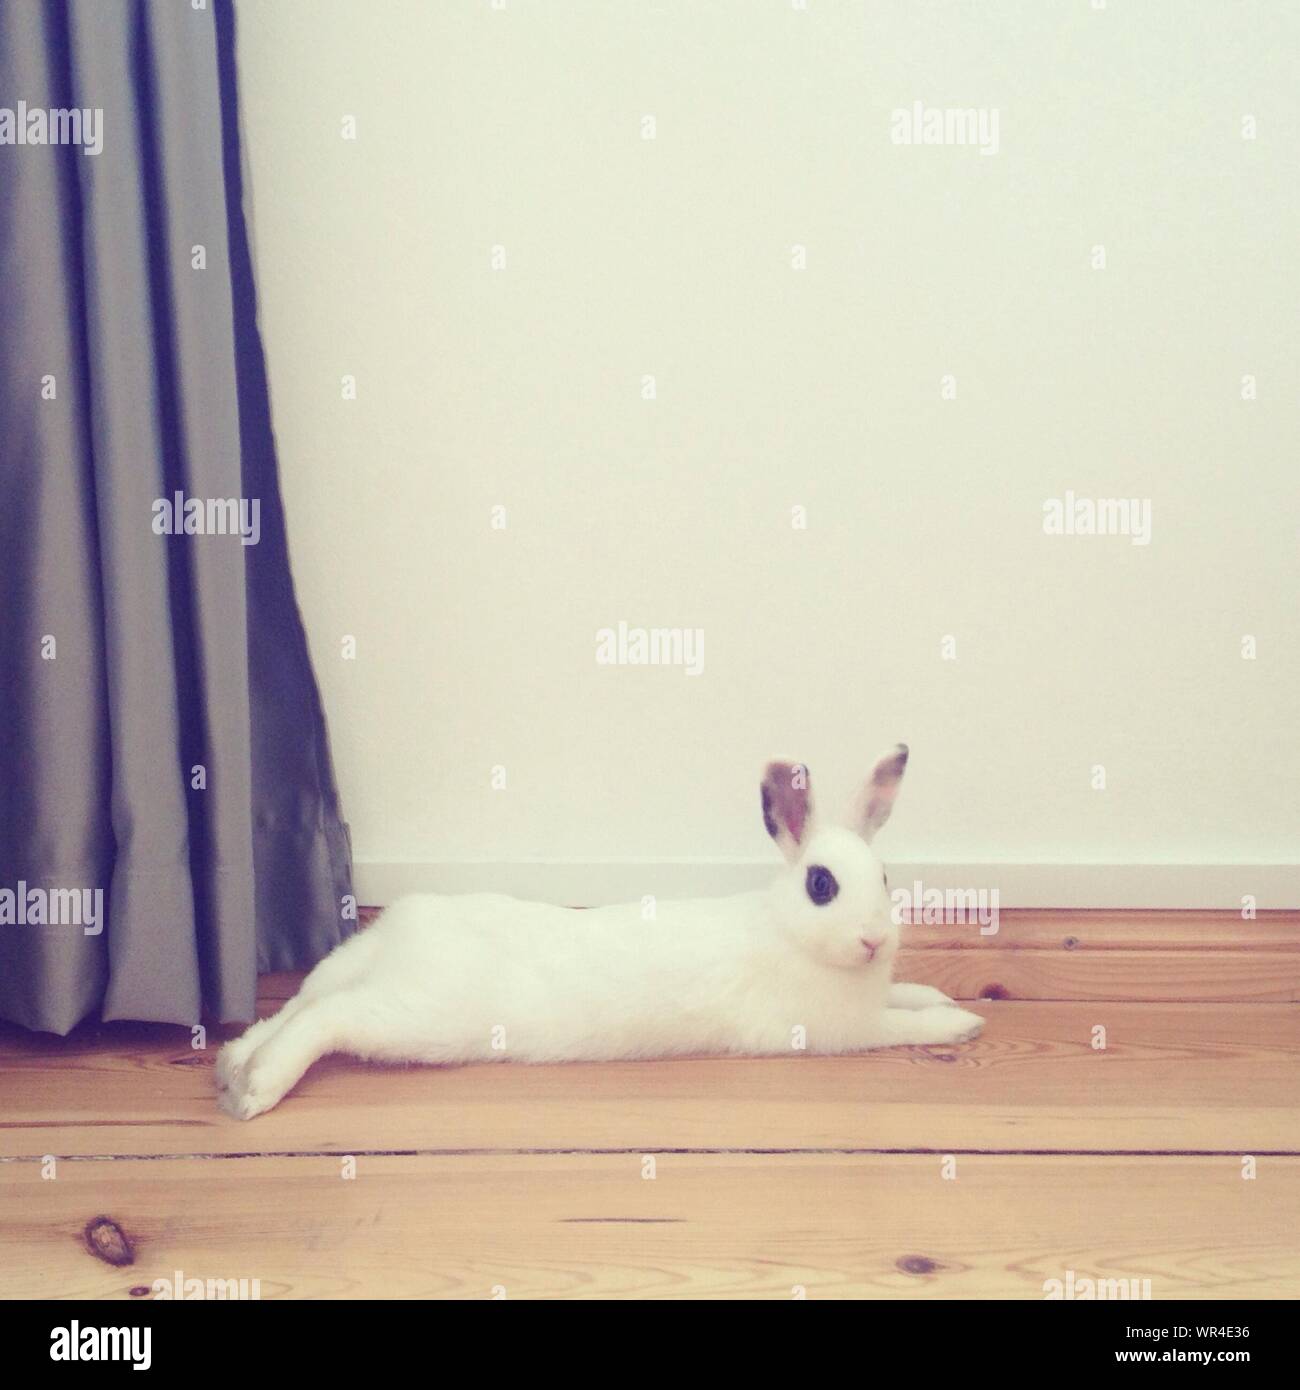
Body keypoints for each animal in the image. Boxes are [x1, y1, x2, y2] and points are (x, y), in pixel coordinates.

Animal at [216, 744, 983, 1119]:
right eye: (822, 886)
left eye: (884, 877)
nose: (874, 940)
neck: (791, 934)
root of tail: (400, 934)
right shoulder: (842, 1030)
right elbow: (906, 1026)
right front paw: (962, 1026)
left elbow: (913, 996)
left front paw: (948, 1001)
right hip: (418, 1016)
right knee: (331, 1018)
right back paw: (255, 1094)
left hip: (356, 974)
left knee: (298, 1004)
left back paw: (232, 1067)